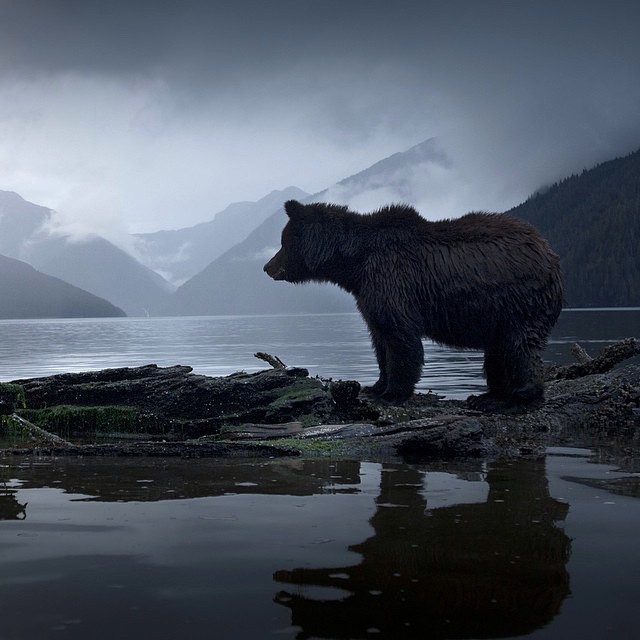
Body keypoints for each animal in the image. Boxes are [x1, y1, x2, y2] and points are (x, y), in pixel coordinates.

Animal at [262, 200, 564, 410]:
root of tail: (550, 252)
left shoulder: (392, 281)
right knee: (498, 352)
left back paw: (515, 398)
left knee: (519, 346)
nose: (267, 267)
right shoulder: (369, 293)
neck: (355, 263)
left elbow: (400, 339)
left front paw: (392, 393)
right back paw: (487, 396)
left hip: (520, 300)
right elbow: (380, 338)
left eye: (283, 243)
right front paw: (376, 386)